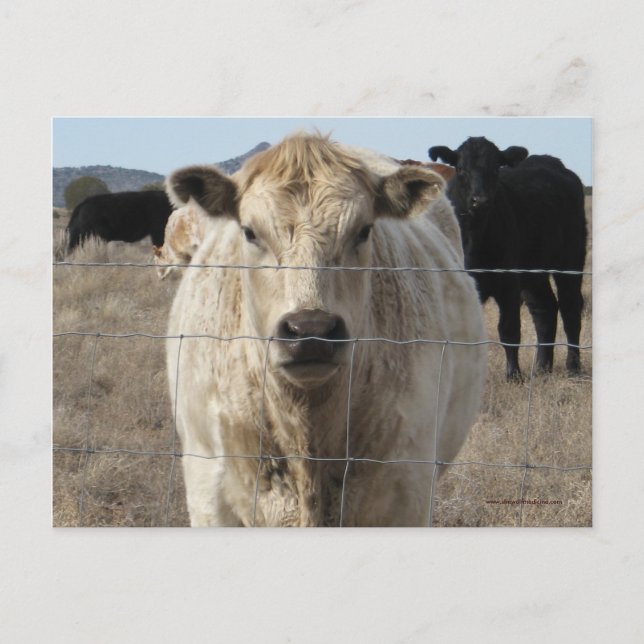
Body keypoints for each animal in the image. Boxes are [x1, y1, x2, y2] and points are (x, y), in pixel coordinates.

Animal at [429, 137, 587, 380]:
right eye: (461, 168)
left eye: (496, 168)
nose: (480, 200)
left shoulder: (508, 282)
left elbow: (509, 330)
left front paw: (513, 375)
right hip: (534, 273)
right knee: (545, 310)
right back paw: (542, 367)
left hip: (571, 260)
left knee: (570, 309)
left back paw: (573, 367)